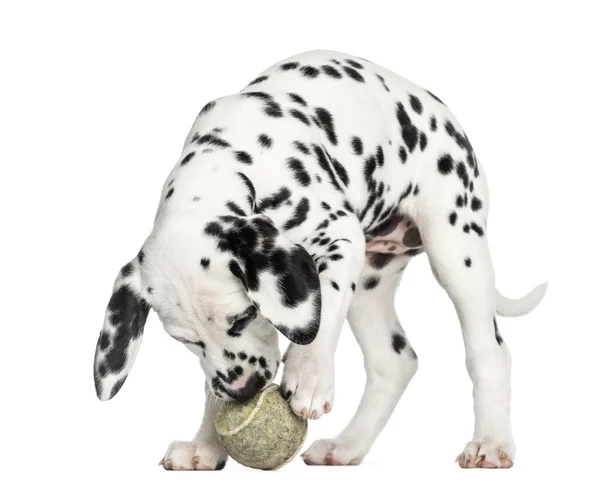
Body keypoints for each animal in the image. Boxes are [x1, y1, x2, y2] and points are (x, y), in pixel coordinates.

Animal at [95, 50, 548, 468]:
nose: (244, 390)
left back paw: (490, 442)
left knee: (489, 353)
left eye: (244, 316)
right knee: (395, 362)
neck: (230, 159)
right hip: (368, 288)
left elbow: (320, 311)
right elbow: (211, 384)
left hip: (455, 252)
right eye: (186, 341)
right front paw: (207, 444)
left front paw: (309, 376)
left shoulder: (340, 238)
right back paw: (347, 446)